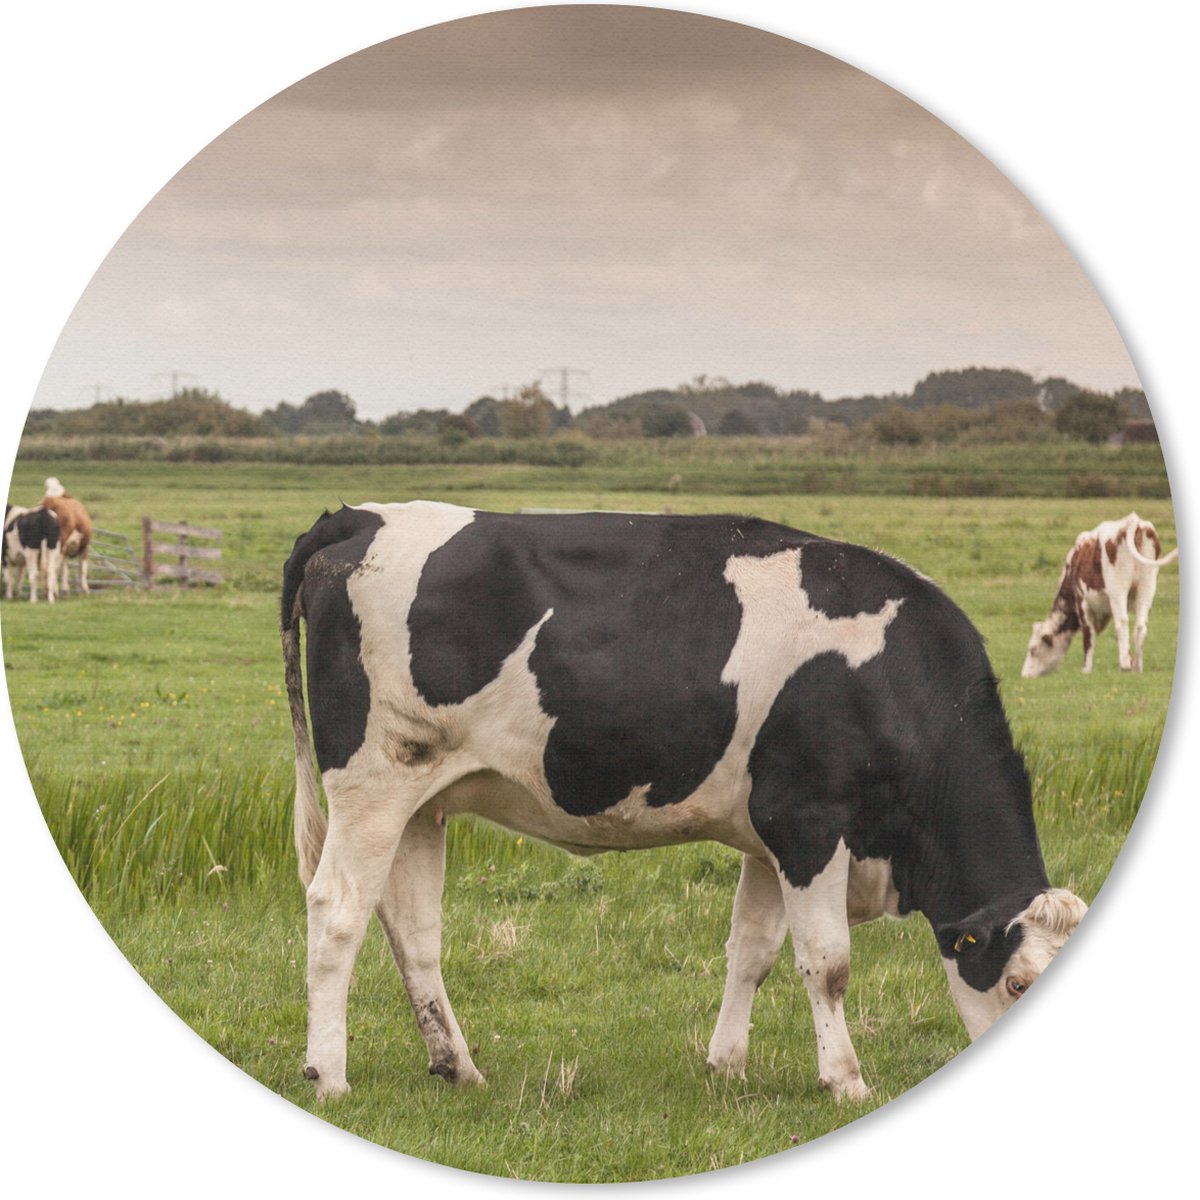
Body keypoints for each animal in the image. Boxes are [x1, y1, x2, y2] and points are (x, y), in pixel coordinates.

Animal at [281, 501, 1087, 1102]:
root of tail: (356, 517)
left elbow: (753, 952)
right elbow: (827, 961)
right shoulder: (808, 823)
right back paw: (330, 1077)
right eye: (1017, 981)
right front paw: (846, 1081)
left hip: (422, 799)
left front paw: (726, 1065)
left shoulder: (768, 837)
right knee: (337, 911)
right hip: (372, 782)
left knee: (413, 928)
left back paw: (460, 1067)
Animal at [1021, 512, 1178, 677]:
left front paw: (1086, 669)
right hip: (1147, 586)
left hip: (1118, 589)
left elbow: (1088, 636)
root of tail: (1132, 520)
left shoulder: (1082, 602)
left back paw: (1125, 666)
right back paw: (1137, 667)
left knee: (1122, 622)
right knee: (1140, 627)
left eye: (1032, 649)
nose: (1024, 675)